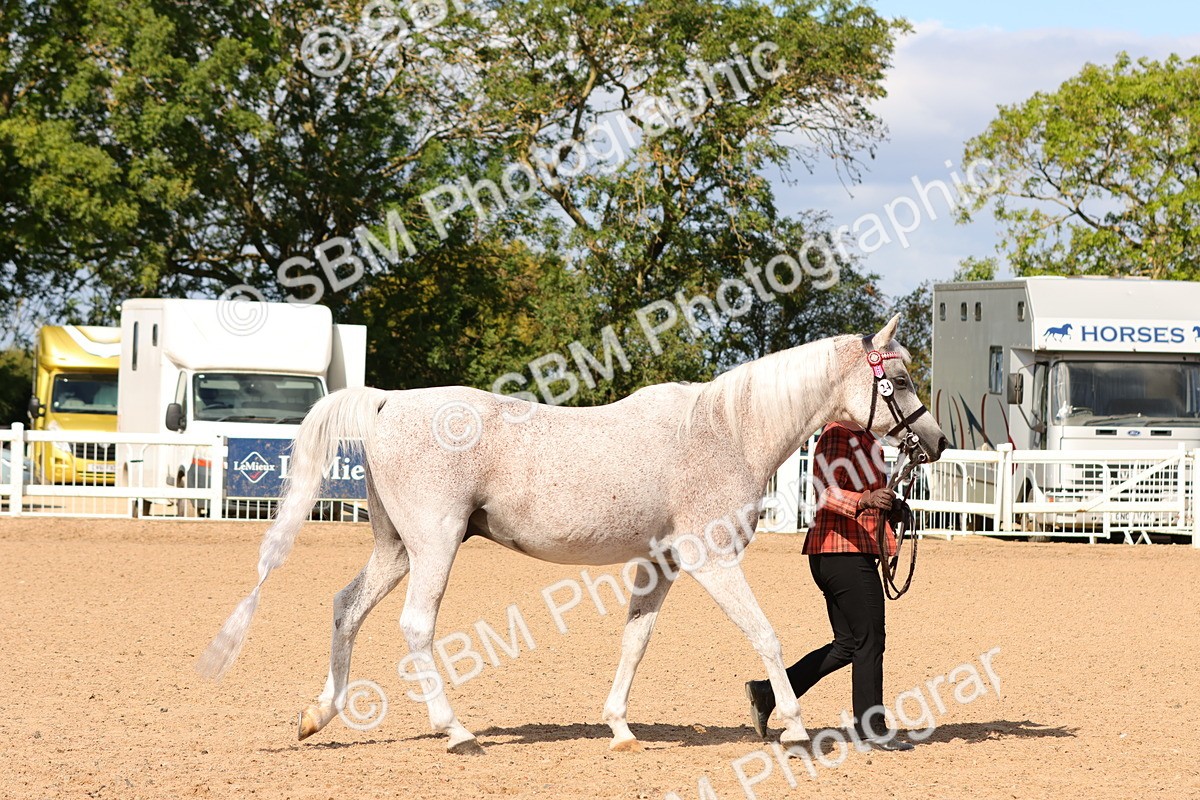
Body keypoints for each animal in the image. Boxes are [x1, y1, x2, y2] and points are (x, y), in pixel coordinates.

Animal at [198, 314, 948, 754]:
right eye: (902, 377)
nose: (936, 442)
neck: (726, 431)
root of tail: (386, 402)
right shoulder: (709, 559)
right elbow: (765, 635)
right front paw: (790, 726)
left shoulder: (661, 564)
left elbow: (635, 640)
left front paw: (619, 729)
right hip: (435, 545)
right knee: (415, 625)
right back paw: (456, 732)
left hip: (396, 547)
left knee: (346, 608)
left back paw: (318, 716)